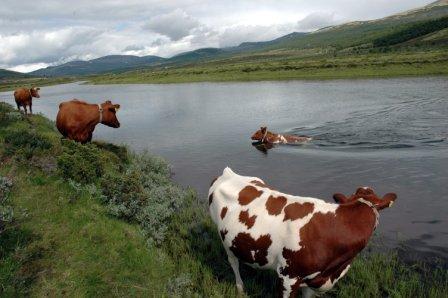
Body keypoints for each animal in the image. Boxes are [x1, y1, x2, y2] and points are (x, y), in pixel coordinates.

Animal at [208, 168, 398, 298]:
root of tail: (229, 173)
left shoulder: (312, 281)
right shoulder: (288, 276)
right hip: (225, 239)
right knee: (233, 262)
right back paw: (240, 288)